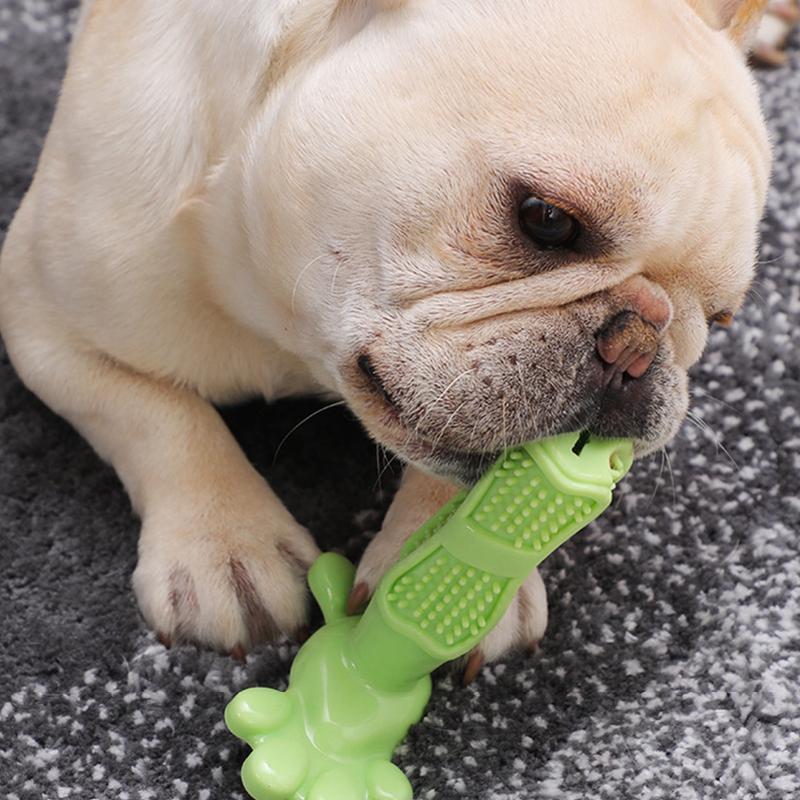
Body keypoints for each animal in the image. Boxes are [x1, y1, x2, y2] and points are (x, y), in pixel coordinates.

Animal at [0, 0, 772, 676]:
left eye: (721, 318)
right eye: (546, 218)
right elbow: (158, 415)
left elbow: (455, 471)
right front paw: (225, 548)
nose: (640, 344)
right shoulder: (42, 316)